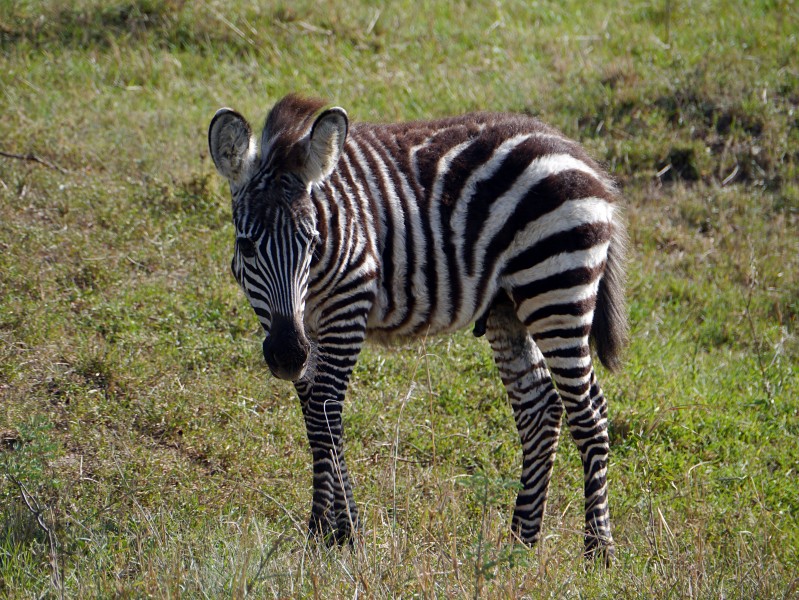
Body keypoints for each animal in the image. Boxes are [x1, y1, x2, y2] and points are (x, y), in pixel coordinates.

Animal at [209, 91, 628, 560]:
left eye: (312, 242)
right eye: (246, 246)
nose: (285, 356)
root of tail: (578, 153)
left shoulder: (348, 304)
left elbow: (324, 412)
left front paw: (334, 532)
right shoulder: (305, 325)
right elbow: (314, 417)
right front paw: (331, 529)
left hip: (557, 289)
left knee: (588, 411)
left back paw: (598, 549)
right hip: (509, 306)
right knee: (540, 408)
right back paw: (521, 541)